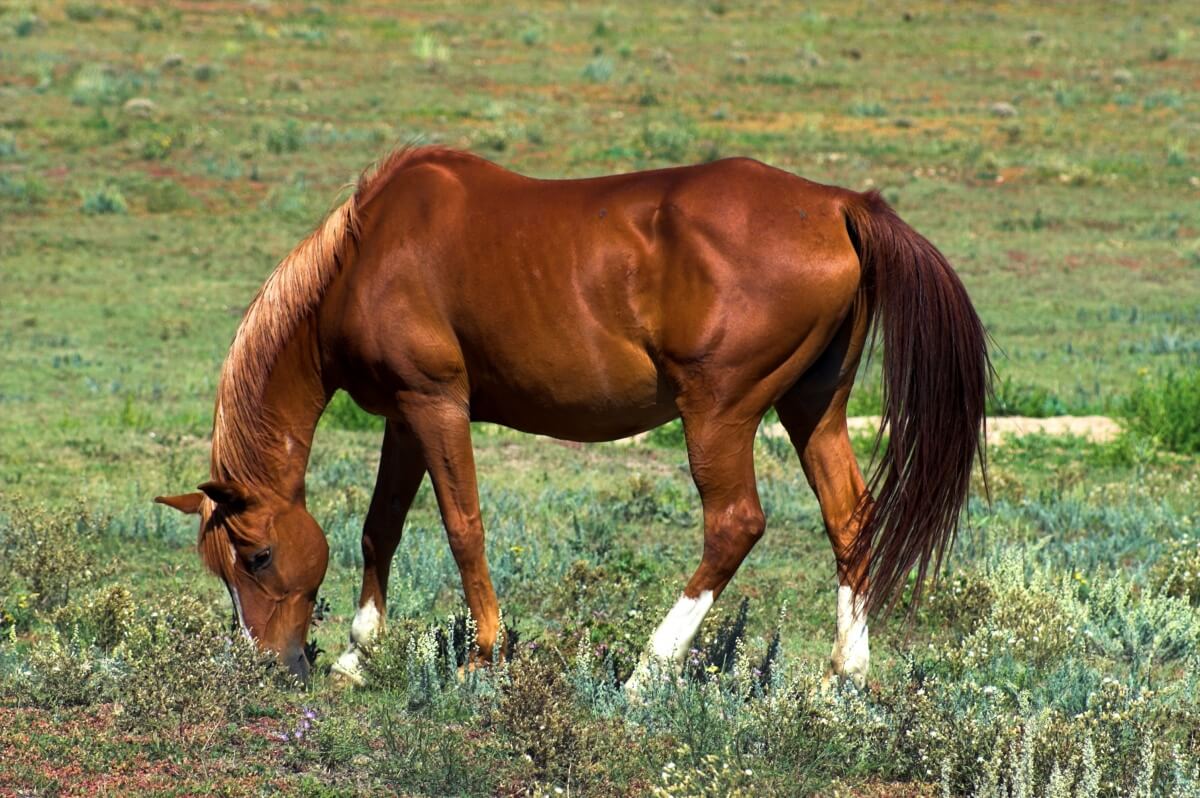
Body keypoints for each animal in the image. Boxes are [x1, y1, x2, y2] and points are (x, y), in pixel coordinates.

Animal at [156, 146, 989, 687]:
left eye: (256, 557)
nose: (270, 664)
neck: (365, 258)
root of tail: (842, 205)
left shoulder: (435, 403)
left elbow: (462, 526)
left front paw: (482, 658)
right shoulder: (402, 417)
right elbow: (379, 528)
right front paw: (358, 658)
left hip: (718, 414)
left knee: (735, 524)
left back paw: (648, 672)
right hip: (812, 407)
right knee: (851, 520)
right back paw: (845, 675)